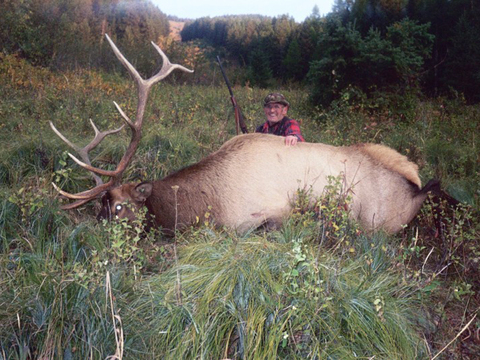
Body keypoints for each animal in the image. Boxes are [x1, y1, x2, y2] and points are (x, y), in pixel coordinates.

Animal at [50, 35, 440, 233]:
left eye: (118, 206)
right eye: (99, 206)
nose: (88, 232)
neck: (206, 203)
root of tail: (413, 182)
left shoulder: (259, 216)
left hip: (381, 220)